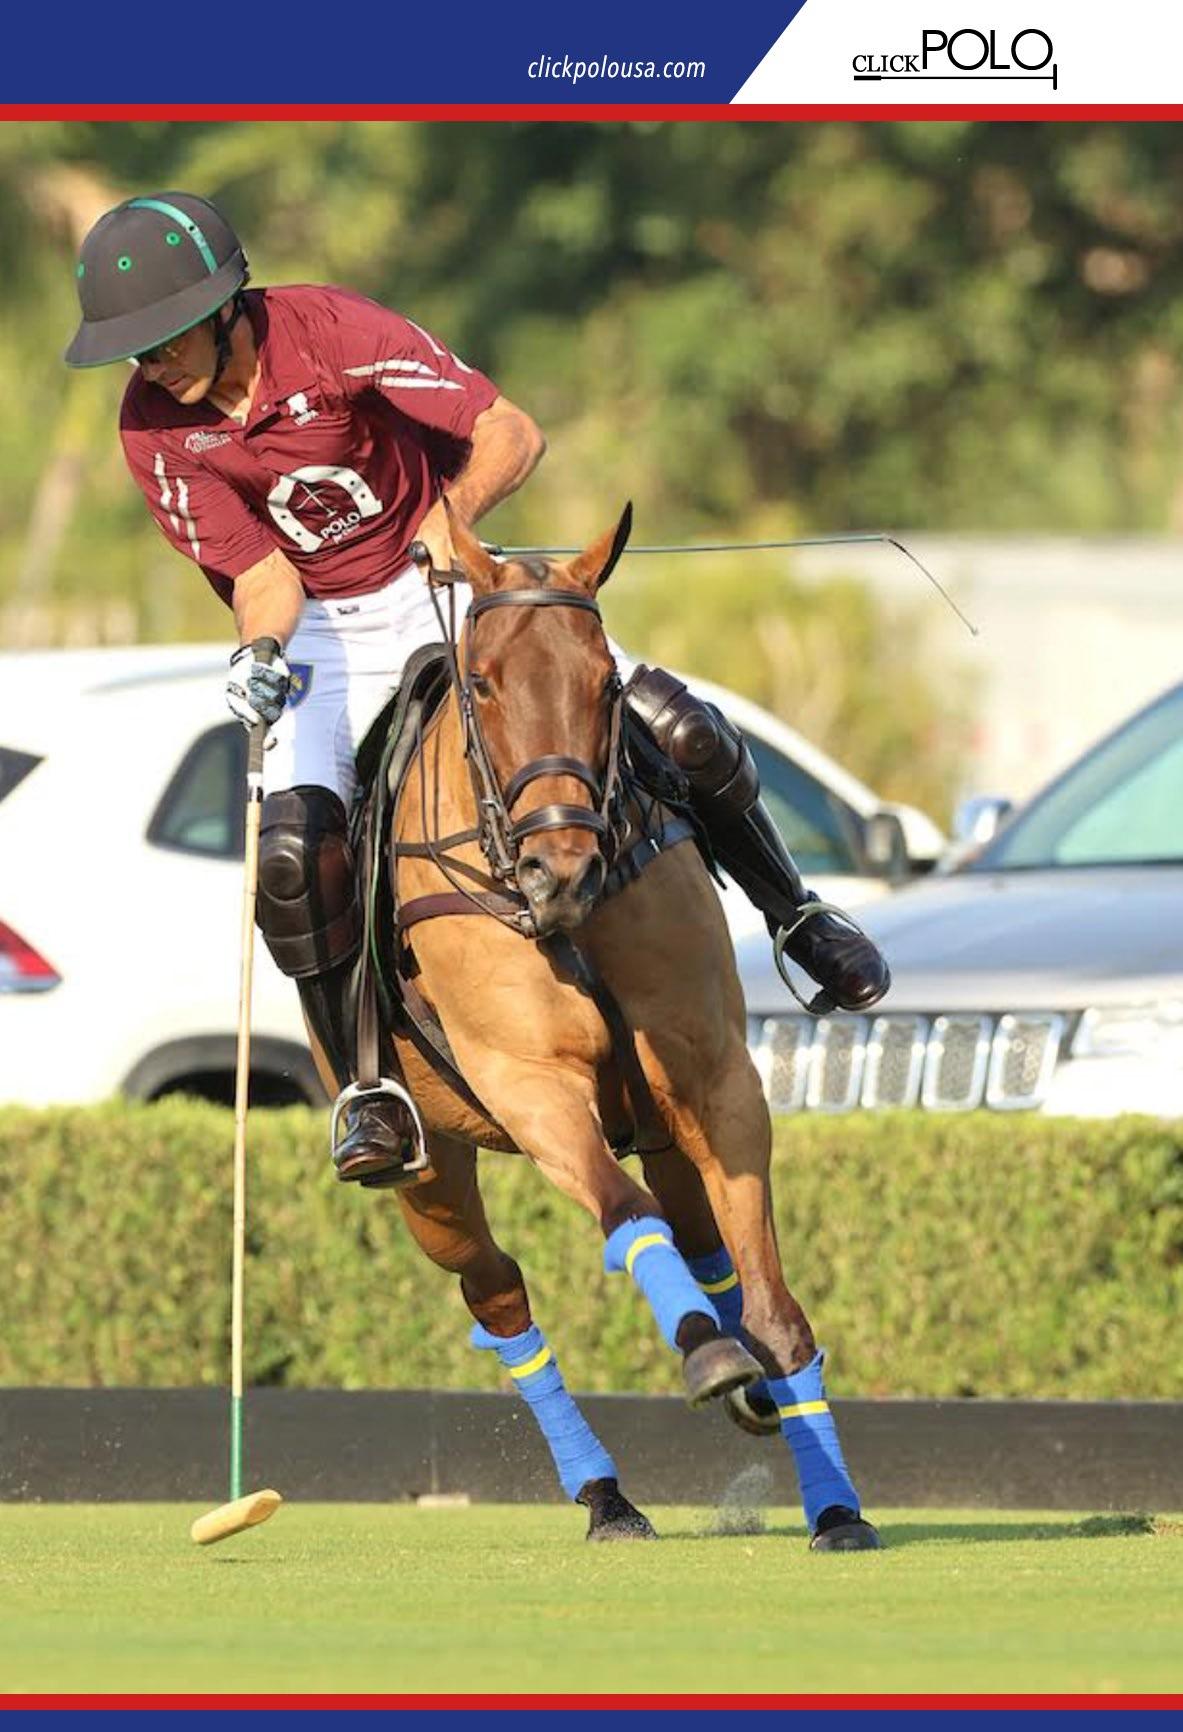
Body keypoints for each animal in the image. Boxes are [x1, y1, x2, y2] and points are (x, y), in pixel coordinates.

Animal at [347, 502, 880, 1551]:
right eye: (481, 681)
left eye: (605, 682)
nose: (562, 871)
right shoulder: (532, 1085)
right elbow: (624, 1217)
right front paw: (709, 1358)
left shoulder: (715, 1076)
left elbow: (773, 1301)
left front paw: (835, 1503)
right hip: (430, 1177)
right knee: (497, 1290)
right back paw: (606, 1493)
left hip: (662, 1122)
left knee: (703, 1240)